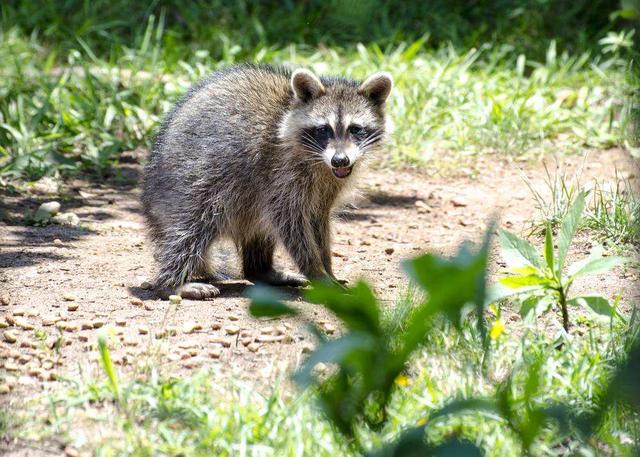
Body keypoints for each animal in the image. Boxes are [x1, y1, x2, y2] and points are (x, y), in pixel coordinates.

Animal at [142, 64, 392, 300]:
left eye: (355, 129)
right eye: (323, 130)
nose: (340, 160)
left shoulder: (327, 184)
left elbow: (317, 221)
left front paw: (328, 268)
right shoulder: (279, 172)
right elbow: (290, 221)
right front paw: (317, 271)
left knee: (258, 227)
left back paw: (261, 270)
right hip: (191, 181)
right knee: (192, 226)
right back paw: (171, 283)